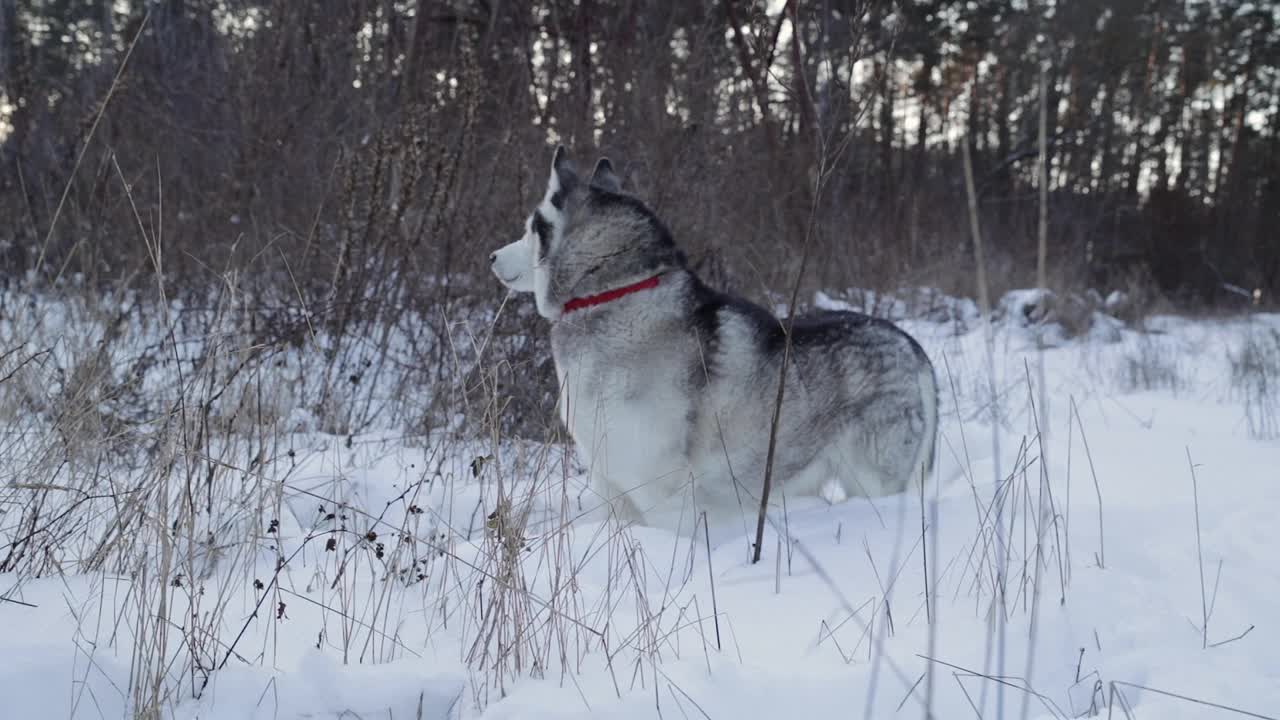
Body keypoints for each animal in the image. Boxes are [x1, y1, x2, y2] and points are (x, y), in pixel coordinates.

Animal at [488, 147, 942, 527]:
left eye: (530, 229)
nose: (490, 256)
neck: (615, 292)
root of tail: (912, 345)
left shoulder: (661, 488)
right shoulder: (610, 481)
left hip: (872, 479)